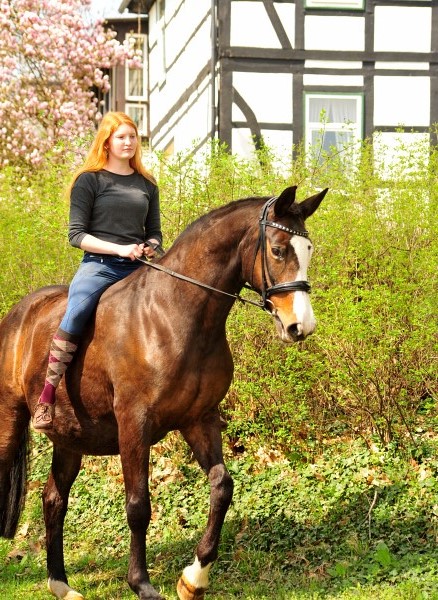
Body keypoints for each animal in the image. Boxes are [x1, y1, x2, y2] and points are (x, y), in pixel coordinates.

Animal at [0, 185, 326, 596]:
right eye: (279, 249)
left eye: (308, 249)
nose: (301, 326)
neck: (174, 315)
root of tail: (17, 314)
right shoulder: (134, 424)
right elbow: (139, 506)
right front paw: (141, 584)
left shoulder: (199, 419)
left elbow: (222, 486)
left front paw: (194, 578)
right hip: (9, 418)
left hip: (69, 437)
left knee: (53, 500)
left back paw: (61, 584)